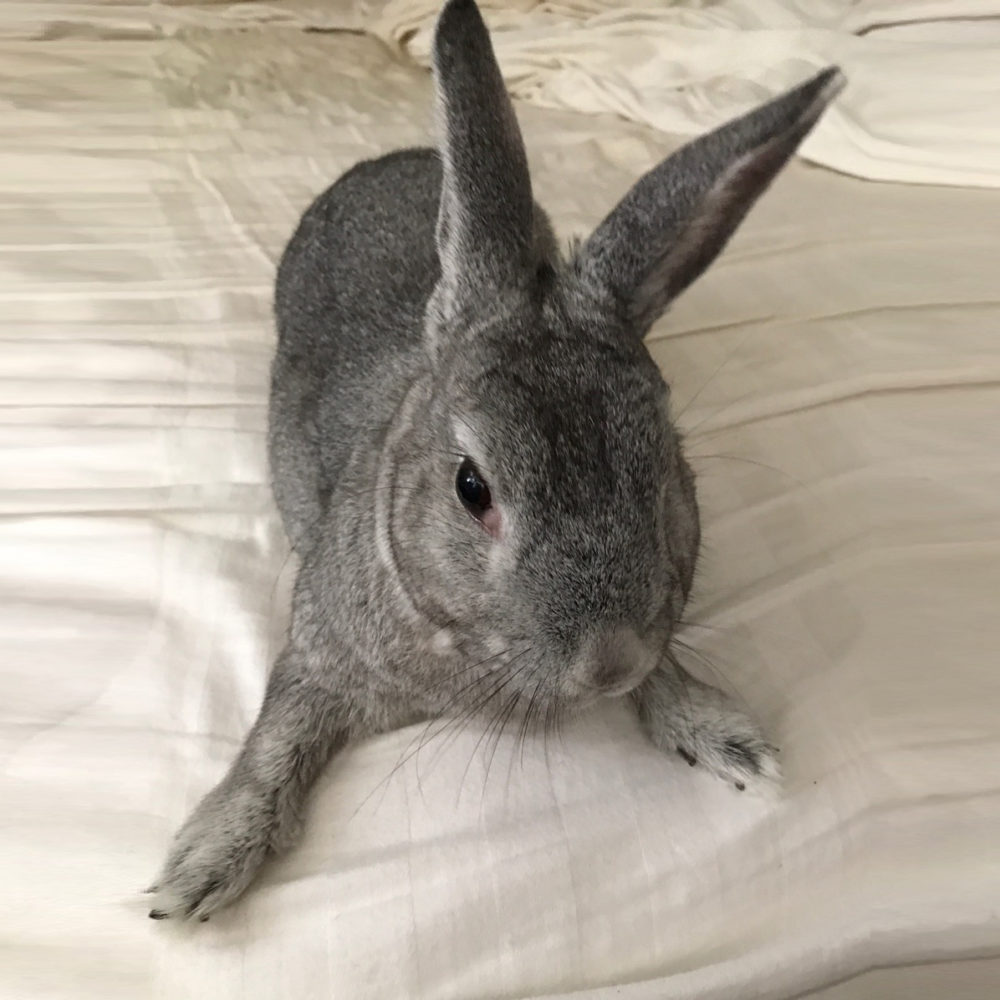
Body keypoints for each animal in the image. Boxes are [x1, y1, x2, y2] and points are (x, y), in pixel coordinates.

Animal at [147, 0, 844, 921]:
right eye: (471, 488)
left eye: (667, 469)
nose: (608, 660)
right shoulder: (317, 651)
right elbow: (278, 738)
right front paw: (201, 865)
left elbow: (670, 669)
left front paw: (722, 735)